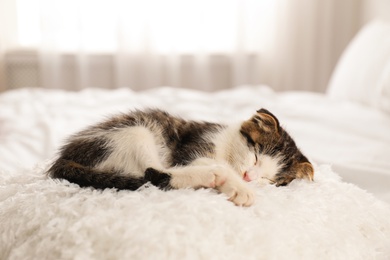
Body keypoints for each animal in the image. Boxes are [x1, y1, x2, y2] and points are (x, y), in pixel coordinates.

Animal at [46, 108, 314, 206]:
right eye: (256, 155)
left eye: (270, 180)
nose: (249, 177)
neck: (225, 147)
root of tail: (64, 157)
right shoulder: (192, 149)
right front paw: (239, 187)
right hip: (135, 130)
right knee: (154, 173)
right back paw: (213, 175)